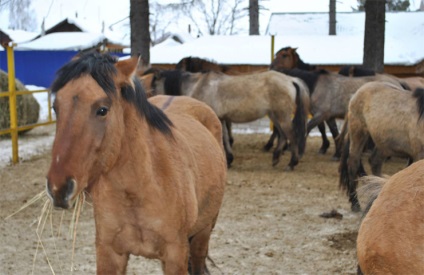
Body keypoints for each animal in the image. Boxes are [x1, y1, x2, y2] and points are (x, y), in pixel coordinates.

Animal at [45, 52, 229, 274]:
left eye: (102, 110)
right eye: (55, 108)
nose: (58, 188)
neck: (138, 190)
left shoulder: (176, 253)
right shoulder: (108, 252)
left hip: (204, 231)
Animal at [151, 69, 310, 170]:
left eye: (153, 86)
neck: (198, 85)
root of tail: (290, 79)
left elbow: (222, 138)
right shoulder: (221, 119)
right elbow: (226, 138)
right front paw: (229, 159)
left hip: (281, 116)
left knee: (291, 135)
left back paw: (291, 163)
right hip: (275, 115)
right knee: (282, 135)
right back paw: (276, 158)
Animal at [340, 83, 424, 212]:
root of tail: (356, 94)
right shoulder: (418, 154)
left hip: (382, 144)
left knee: (375, 162)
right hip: (358, 134)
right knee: (353, 164)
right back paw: (355, 203)